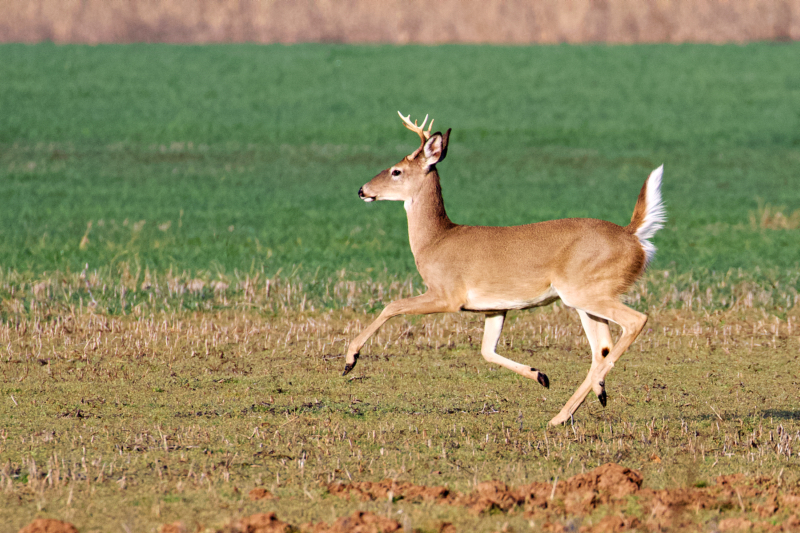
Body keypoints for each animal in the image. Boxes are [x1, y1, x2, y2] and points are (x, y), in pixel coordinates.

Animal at [342, 113, 664, 424]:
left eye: (396, 170)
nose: (361, 190)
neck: (435, 241)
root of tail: (634, 236)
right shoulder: (495, 307)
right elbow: (487, 350)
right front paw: (541, 375)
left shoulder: (448, 294)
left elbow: (392, 306)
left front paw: (349, 360)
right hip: (586, 297)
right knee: (601, 348)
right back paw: (577, 406)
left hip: (585, 291)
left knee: (635, 321)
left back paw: (568, 409)